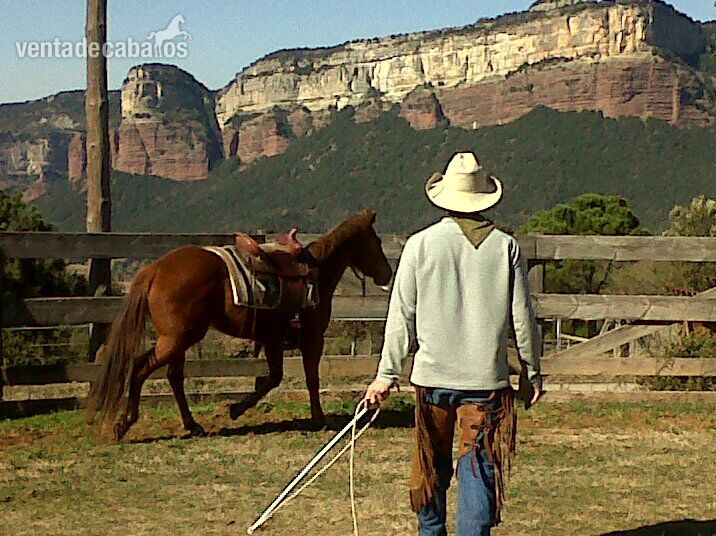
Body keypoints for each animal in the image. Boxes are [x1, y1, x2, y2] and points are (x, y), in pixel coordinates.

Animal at [86, 210, 393, 440]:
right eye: (375, 241)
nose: (387, 273)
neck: (316, 273)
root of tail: (155, 269)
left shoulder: (272, 340)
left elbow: (274, 378)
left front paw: (235, 409)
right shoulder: (311, 338)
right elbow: (308, 378)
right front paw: (317, 419)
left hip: (180, 339)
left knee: (174, 377)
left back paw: (192, 425)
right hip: (175, 340)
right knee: (140, 368)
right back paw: (125, 424)